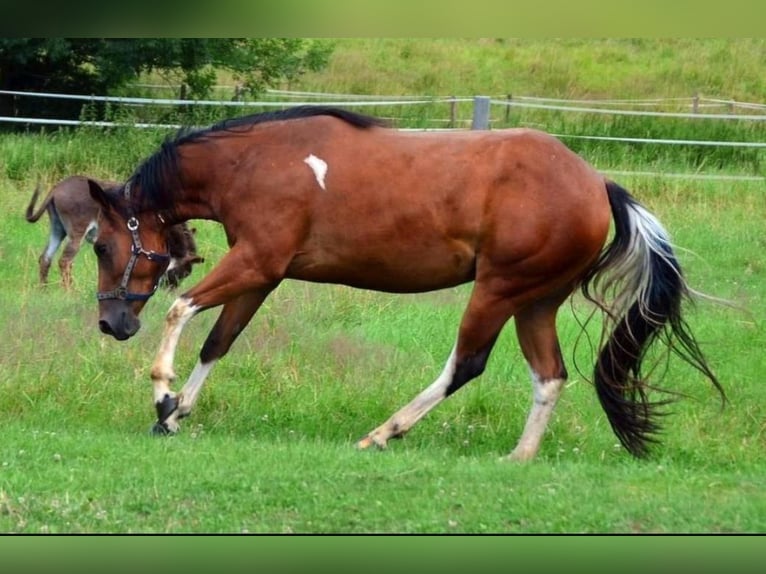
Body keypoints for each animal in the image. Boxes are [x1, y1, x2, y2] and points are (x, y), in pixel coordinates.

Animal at [87, 106, 724, 462]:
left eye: (100, 244)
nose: (111, 323)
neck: (253, 164)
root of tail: (596, 183)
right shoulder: (262, 277)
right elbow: (218, 342)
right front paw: (175, 413)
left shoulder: (257, 263)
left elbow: (180, 309)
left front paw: (163, 394)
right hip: (536, 301)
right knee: (549, 376)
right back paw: (518, 458)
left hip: (498, 291)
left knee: (465, 365)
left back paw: (383, 433)